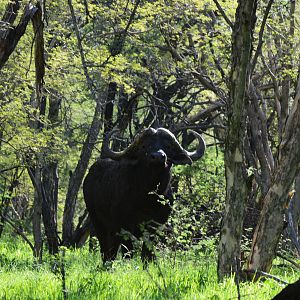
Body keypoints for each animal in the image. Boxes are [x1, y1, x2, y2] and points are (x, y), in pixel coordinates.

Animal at [82, 127, 205, 264]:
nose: (158, 157)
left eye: (167, 146)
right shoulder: (124, 227)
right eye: (145, 146)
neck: (147, 198)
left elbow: (147, 253)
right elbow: (128, 252)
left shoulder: (155, 226)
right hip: (98, 223)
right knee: (105, 249)